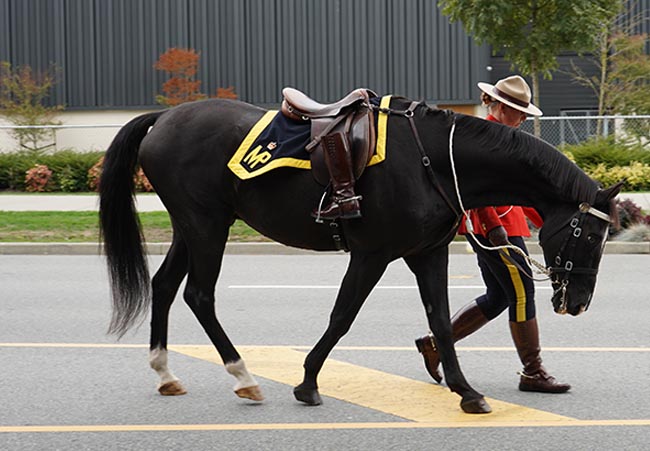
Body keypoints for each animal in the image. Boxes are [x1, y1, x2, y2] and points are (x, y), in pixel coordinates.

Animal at [99, 95, 622, 414]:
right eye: (589, 233)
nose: (578, 302)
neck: (435, 159)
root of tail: (164, 118)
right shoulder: (372, 255)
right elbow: (342, 316)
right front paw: (308, 382)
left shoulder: (428, 254)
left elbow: (440, 320)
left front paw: (465, 391)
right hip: (206, 226)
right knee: (200, 296)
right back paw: (243, 375)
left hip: (193, 227)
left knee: (165, 286)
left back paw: (165, 372)